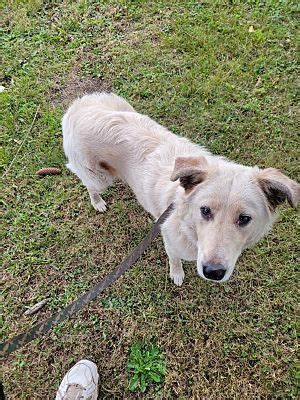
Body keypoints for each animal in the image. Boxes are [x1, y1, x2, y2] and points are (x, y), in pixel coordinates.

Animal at [62, 92, 298, 286]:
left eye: (244, 219)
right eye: (205, 211)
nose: (213, 272)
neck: (188, 225)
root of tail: (77, 108)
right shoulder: (170, 242)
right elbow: (174, 260)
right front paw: (177, 275)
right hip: (100, 178)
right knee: (85, 181)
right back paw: (97, 202)